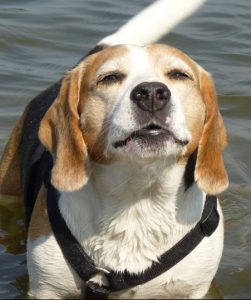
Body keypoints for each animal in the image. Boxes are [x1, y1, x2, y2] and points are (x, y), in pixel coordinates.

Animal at [0, 0, 227, 298]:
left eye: (179, 75)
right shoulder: (46, 289)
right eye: (109, 78)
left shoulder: (194, 289)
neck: (138, 195)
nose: (152, 93)